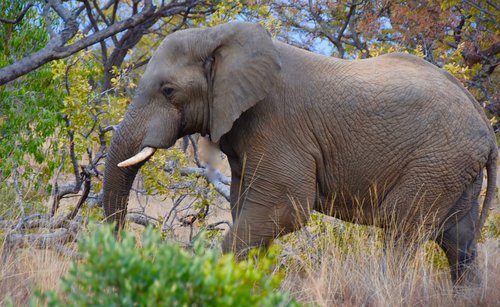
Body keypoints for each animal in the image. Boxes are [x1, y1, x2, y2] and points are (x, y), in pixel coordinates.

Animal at [101, 22, 496, 288]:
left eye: (168, 90)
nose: (118, 250)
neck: (219, 37)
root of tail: (486, 127)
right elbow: (245, 206)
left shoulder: (276, 124)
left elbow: (284, 207)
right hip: (454, 167)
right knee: (458, 241)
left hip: (437, 160)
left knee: (400, 228)